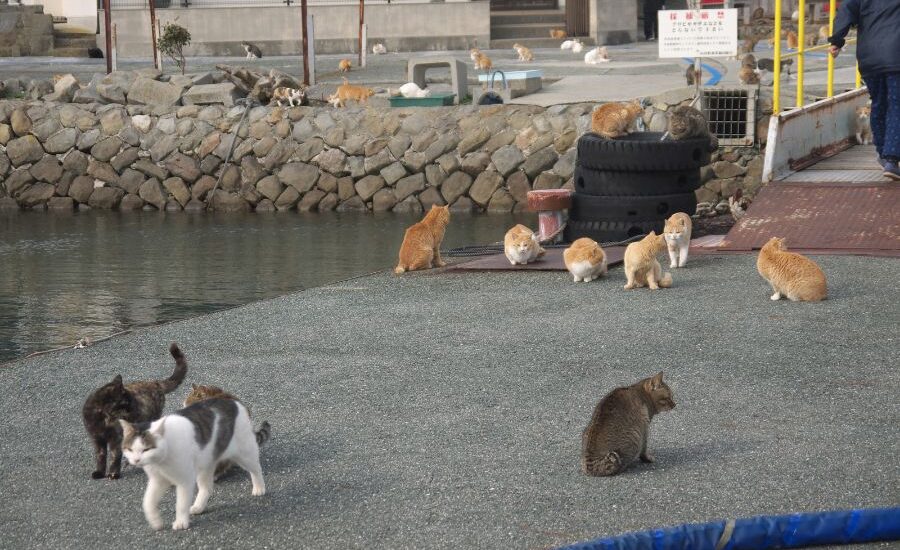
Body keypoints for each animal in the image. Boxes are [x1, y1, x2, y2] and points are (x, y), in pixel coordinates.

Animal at [81, 344, 187, 484]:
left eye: (132, 400)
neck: (103, 418)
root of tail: (155, 383)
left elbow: (114, 456)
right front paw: (99, 472)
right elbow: (100, 456)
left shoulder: (116, 439)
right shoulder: (97, 438)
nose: (134, 408)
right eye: (126, 402)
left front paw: (113, 474)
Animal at [121, 398, 266, 532]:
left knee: (256, 468)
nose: (136, 460)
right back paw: (198, 506)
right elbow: (148, 501)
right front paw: (155, 521)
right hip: (206, 464)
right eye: (130, 449)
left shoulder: (185, 480)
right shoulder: (158, 480)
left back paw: (259, 488)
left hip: (244, 453)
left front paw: (181, 522)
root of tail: (233, 401)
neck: (161, 460)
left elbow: (181, 504)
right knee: (206, 488)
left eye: (146, 449)